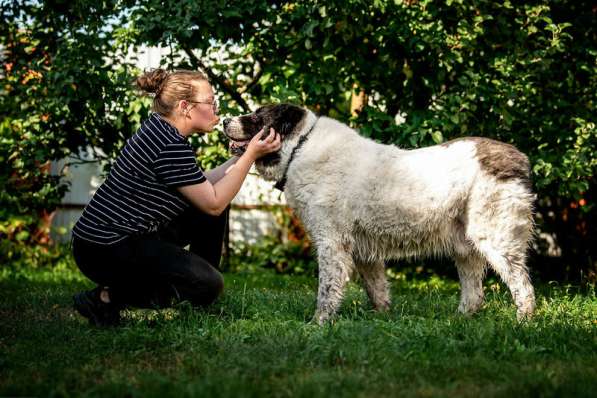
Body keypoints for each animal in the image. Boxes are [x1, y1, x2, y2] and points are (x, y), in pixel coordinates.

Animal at [222, 105, 536, 324]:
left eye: (257, 116)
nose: (224, 120)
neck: (300, 147)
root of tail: (518, 157)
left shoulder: (331, 244)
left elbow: (327, 290)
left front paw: (318, 324)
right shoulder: (363, 251)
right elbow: (377, 289)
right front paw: (382, 319)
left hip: (496, 238)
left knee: (522, 285)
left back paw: (523, 323)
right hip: (465, 245)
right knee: (475, 293)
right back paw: (458, 321)